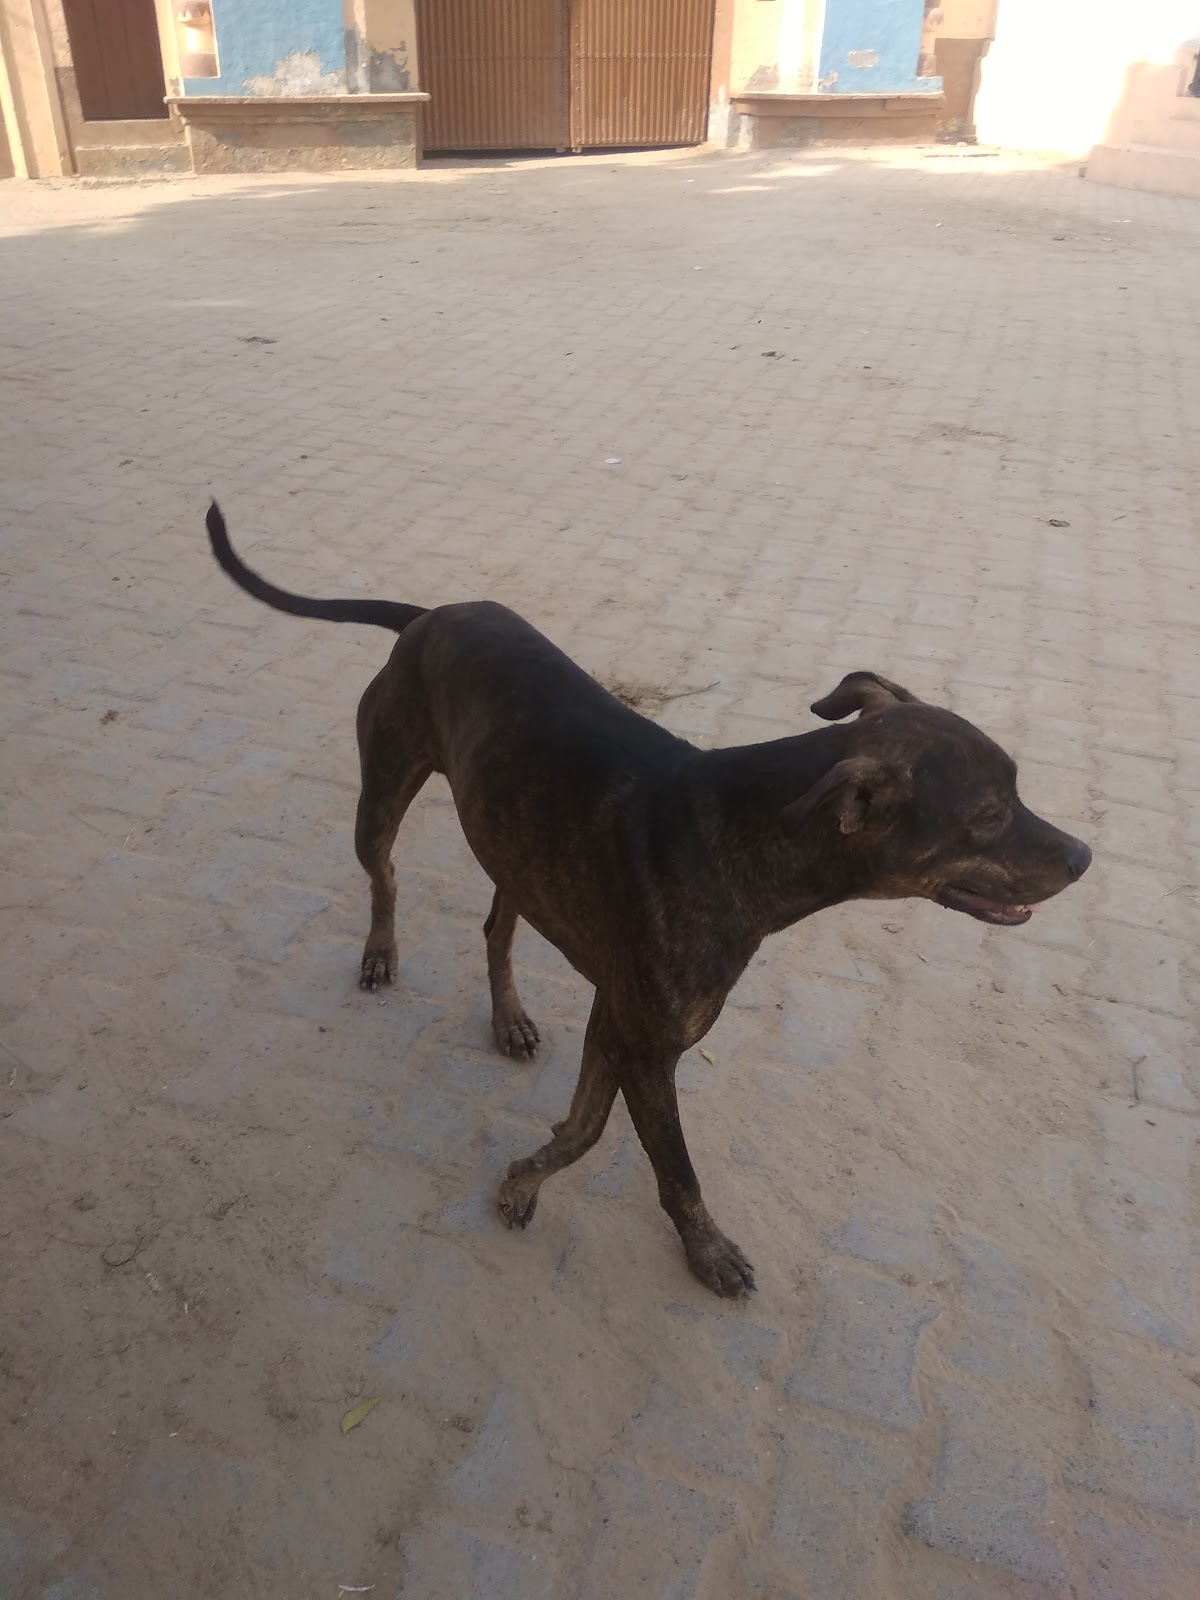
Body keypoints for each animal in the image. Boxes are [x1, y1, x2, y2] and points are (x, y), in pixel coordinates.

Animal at [205, 503, 1091, 1297]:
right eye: (988, 815)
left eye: (1018, 787)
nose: (1084, 857)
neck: (736, 837)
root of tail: (429, 617)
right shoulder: (647, 1044)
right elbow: (671, 1167)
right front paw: (706, 1249)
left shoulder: (619, 1020)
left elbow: (586, 1129)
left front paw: (524, 1176)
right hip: (384, 794)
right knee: (385, 876)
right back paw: (382, 952)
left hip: (516, 843)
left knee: (495, 927)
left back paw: (508, 1016)